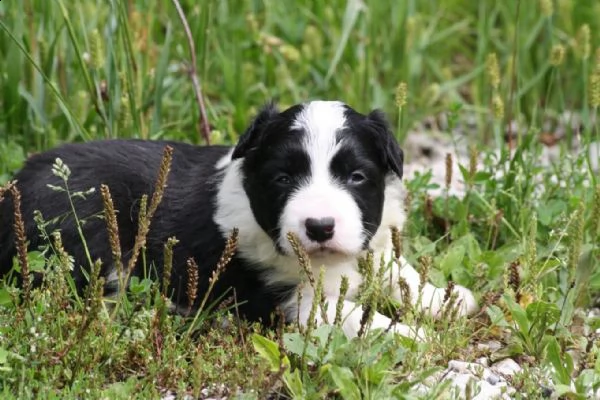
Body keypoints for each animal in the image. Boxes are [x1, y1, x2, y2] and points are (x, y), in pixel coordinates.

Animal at [0, 100, 478, 338]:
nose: (320, 227)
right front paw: (413, 335)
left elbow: (396, 268)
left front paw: (446, 299)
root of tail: (13, 188)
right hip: (89, 232)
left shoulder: (371, 242)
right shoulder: (295, 301)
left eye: (357, 176)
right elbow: (356, 318)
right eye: (282, 178)